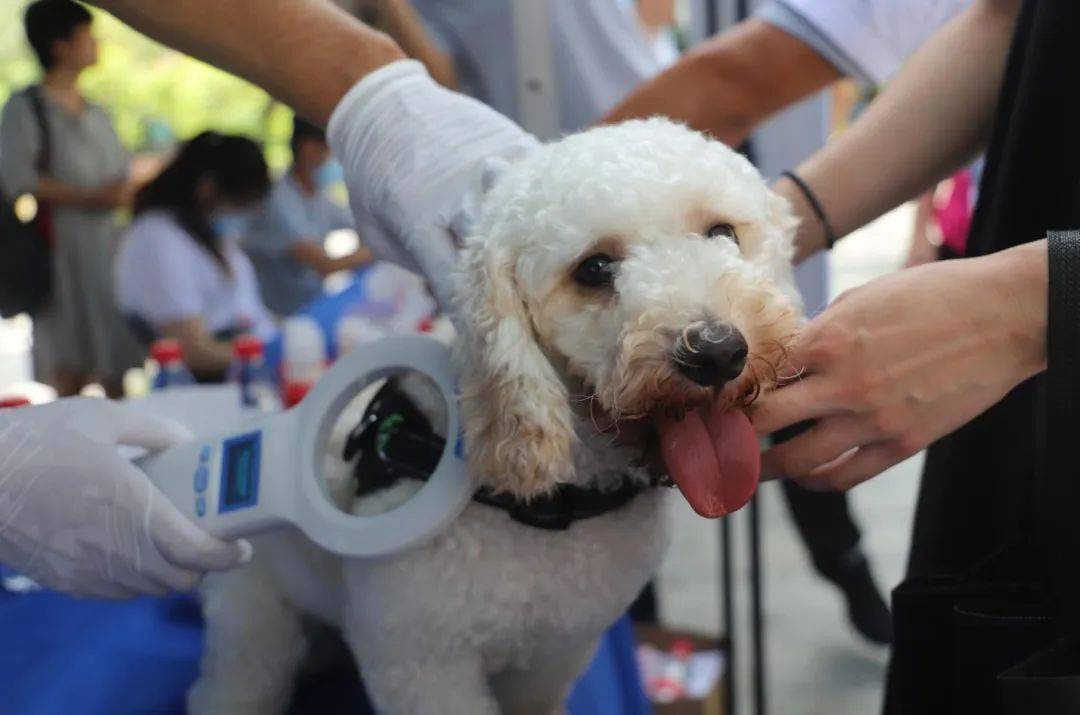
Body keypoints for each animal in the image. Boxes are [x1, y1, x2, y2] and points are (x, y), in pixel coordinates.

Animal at [190, 120, 807, 715]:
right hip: (254, 622)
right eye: (594, 268)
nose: (716, 351)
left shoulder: (555, 654)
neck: (555, 499)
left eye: (722, 232)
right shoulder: (420, 665)